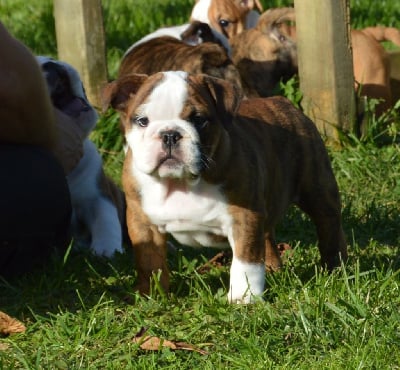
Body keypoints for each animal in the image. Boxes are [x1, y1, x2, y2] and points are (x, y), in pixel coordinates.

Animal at [102, 70, 346, 304]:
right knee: (267, 234)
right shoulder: (143, 224)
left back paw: (335, 267)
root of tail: (280, 101)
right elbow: (149, 262)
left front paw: (243, 298)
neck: (180, 182)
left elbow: (245, 262)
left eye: (198, 119)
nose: (170, 134)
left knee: (329, 225)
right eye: (142, 121)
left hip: (317, 188)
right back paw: (273, 268)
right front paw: (150, 294)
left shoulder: (244, 217)